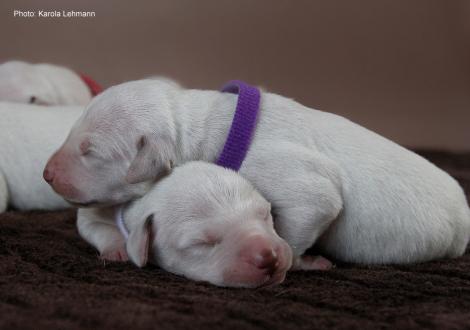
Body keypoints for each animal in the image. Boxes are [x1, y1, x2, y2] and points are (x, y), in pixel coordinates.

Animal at [45, 80, 470, 266]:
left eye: (90, 151)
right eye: (73, 130)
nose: (47, 174)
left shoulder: (281, 172)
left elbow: (316, 200)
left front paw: (296, 261)